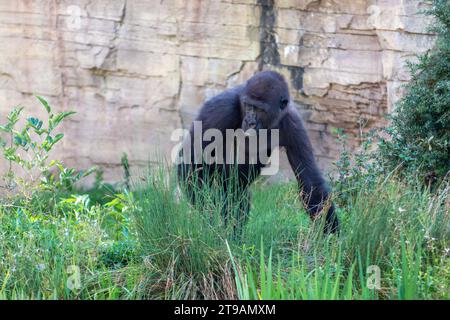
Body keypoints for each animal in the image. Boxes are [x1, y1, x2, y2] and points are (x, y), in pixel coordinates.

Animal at [178, 70, 340, 235]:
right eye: (249, 106)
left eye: (260, 109)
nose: (250, 121)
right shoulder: (220, 109)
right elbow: (192, 162)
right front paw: (211, 214)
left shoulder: (294, 124)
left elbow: (311, 183)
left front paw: (330, 235)